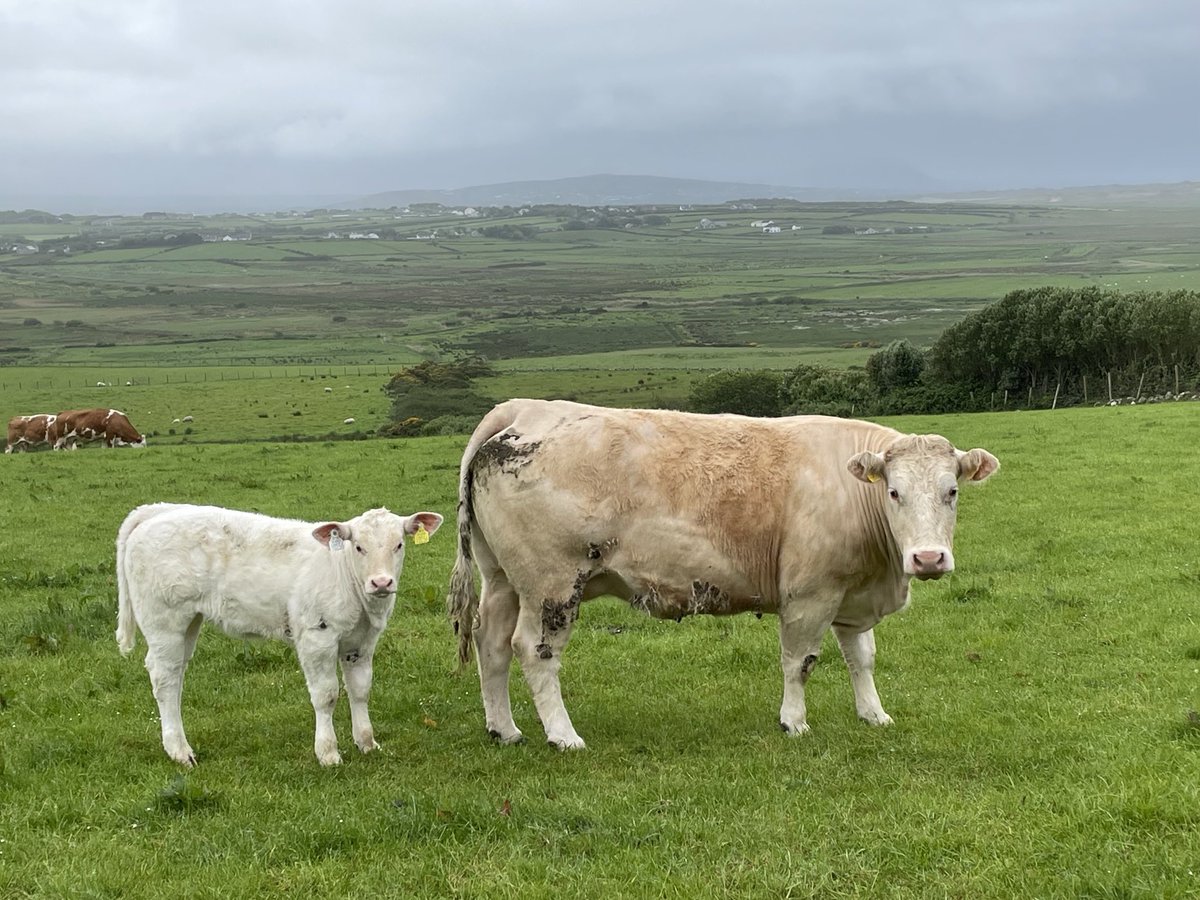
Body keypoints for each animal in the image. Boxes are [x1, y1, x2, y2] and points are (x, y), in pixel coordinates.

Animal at [114, 504, 444, 763]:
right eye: (359, 547)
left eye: (399, 545)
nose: (381, 582)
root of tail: (158, 510)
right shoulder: (316, 637)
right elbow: (326, 695)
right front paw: (328, 752)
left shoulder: (362, 641)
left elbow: (360, 690)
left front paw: (366, 742)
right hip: (164, 620)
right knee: (164, 678)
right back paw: (179, 750)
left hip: (189, 621)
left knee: (176, 675)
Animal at [446, 400, 998, 748]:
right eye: (894, 492)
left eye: (951, 491)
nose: (928, 559)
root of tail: (525, 408)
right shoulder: (809, 595)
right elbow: (800, 662)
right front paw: (794, 723)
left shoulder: (850, 597)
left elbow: (861, 659)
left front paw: (874, 714)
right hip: (551, 587)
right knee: (533, 651)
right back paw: (563, 736)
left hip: (503, 580)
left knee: (491, 643)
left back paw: (504, 729)